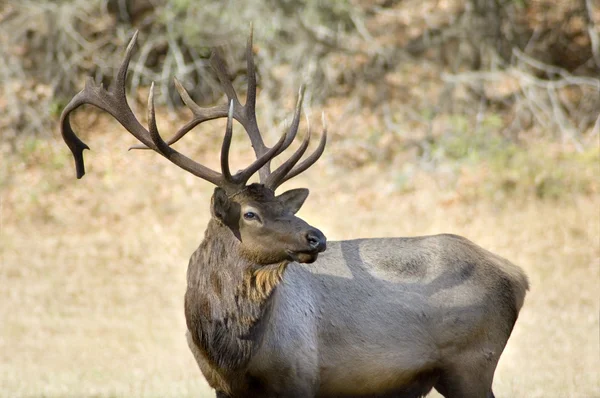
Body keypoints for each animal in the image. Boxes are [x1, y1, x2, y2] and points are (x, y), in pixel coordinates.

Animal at [62, 31, 528, 398]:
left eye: (283, 207)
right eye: (251, 213)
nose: (316, 237)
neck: (231, 353)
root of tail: (517, 276)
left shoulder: (300, 376)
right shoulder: (221, 388)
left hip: (471, 363)